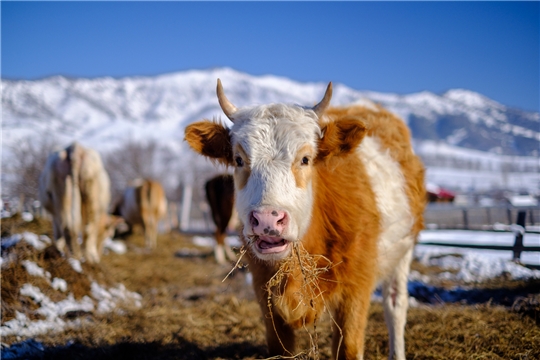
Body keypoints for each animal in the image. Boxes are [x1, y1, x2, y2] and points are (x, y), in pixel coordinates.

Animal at [186, 80, 426, 358]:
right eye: (238, 159)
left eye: (305, 159)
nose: (268, 219)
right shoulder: (265, 294)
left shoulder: (357, 287)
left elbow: (349, 348)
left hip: (404, 250)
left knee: (395, 306)